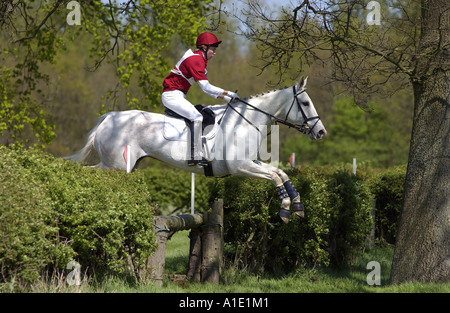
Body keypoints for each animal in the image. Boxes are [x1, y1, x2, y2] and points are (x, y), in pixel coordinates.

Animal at [67, 76, 326, 222]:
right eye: (305, 103)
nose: (321, 132)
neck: (247, 119)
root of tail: (109, 118)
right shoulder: (241, 167)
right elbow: (275, 177)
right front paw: (285, 211)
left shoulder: (251, 162)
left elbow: (281, 173)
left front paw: (298, 206)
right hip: (117, 167)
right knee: (92, 175)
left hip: (120, 166)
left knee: (89, 171)